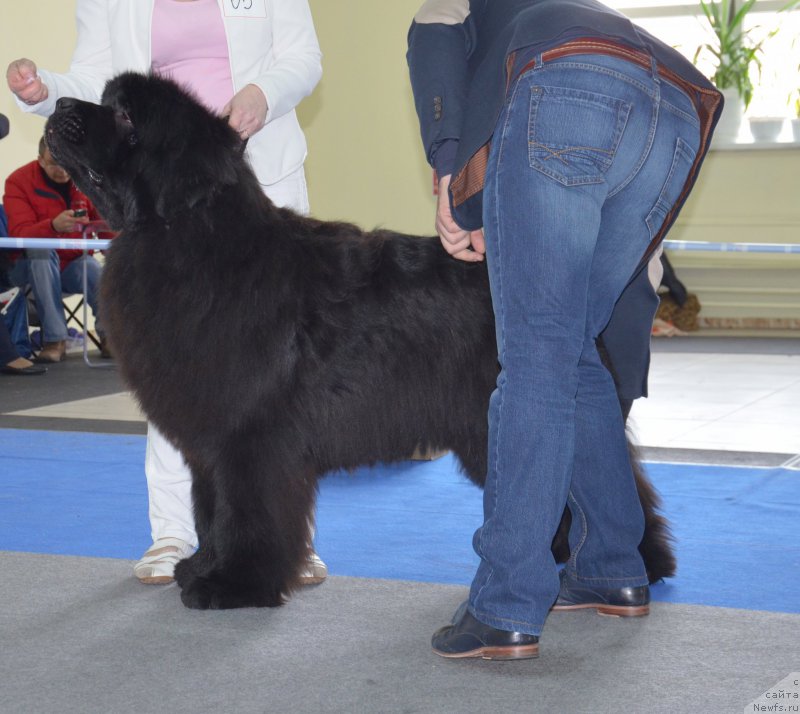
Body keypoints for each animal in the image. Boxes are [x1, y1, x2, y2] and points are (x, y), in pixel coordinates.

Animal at [45, 71, 676, 608]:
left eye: (126, 115)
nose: (59, 105)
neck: (190, 239)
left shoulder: (250, 436)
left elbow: (245, 511)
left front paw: (236, 584)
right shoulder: (209, 437)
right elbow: (210, 508)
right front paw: (203, 567)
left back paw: (629, 566)